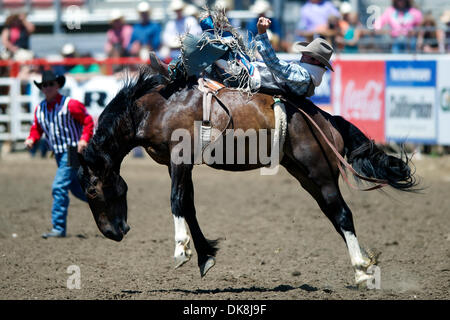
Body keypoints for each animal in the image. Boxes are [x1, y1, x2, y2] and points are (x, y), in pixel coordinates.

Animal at [77, 67, 418, 284]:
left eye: (91, 191)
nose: (114, 232)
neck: (156, 108)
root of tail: (325, 117)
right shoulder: (184, 166)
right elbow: (189, 205)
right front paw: (205, 256)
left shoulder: (179, 159)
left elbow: (176, 201)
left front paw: (181, 250)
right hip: (305, 176)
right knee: (334, 215)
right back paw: (363, 268)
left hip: (320, 172)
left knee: (344, 215)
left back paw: (361, 270)